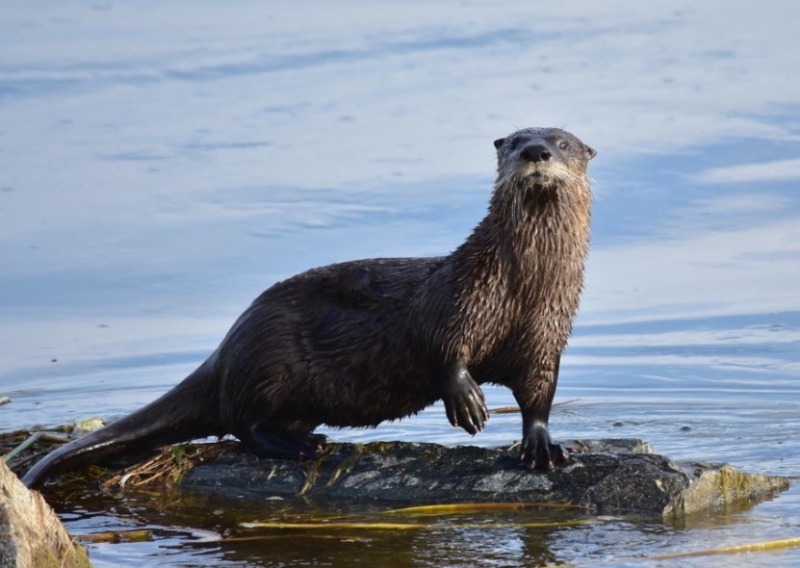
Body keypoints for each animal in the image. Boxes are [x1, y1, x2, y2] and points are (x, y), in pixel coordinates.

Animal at [23, 127, 592, 488]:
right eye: (514, 141)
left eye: (562, 142)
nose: (536, 150)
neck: (522, 289)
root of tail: (225, 349)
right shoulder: (460, 298)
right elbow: (442, 347)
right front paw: (468, 401)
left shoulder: (547, 333)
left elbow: (539, 393)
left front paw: (543, 446)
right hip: (269, 359)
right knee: (242, 422)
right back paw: (297, 446)